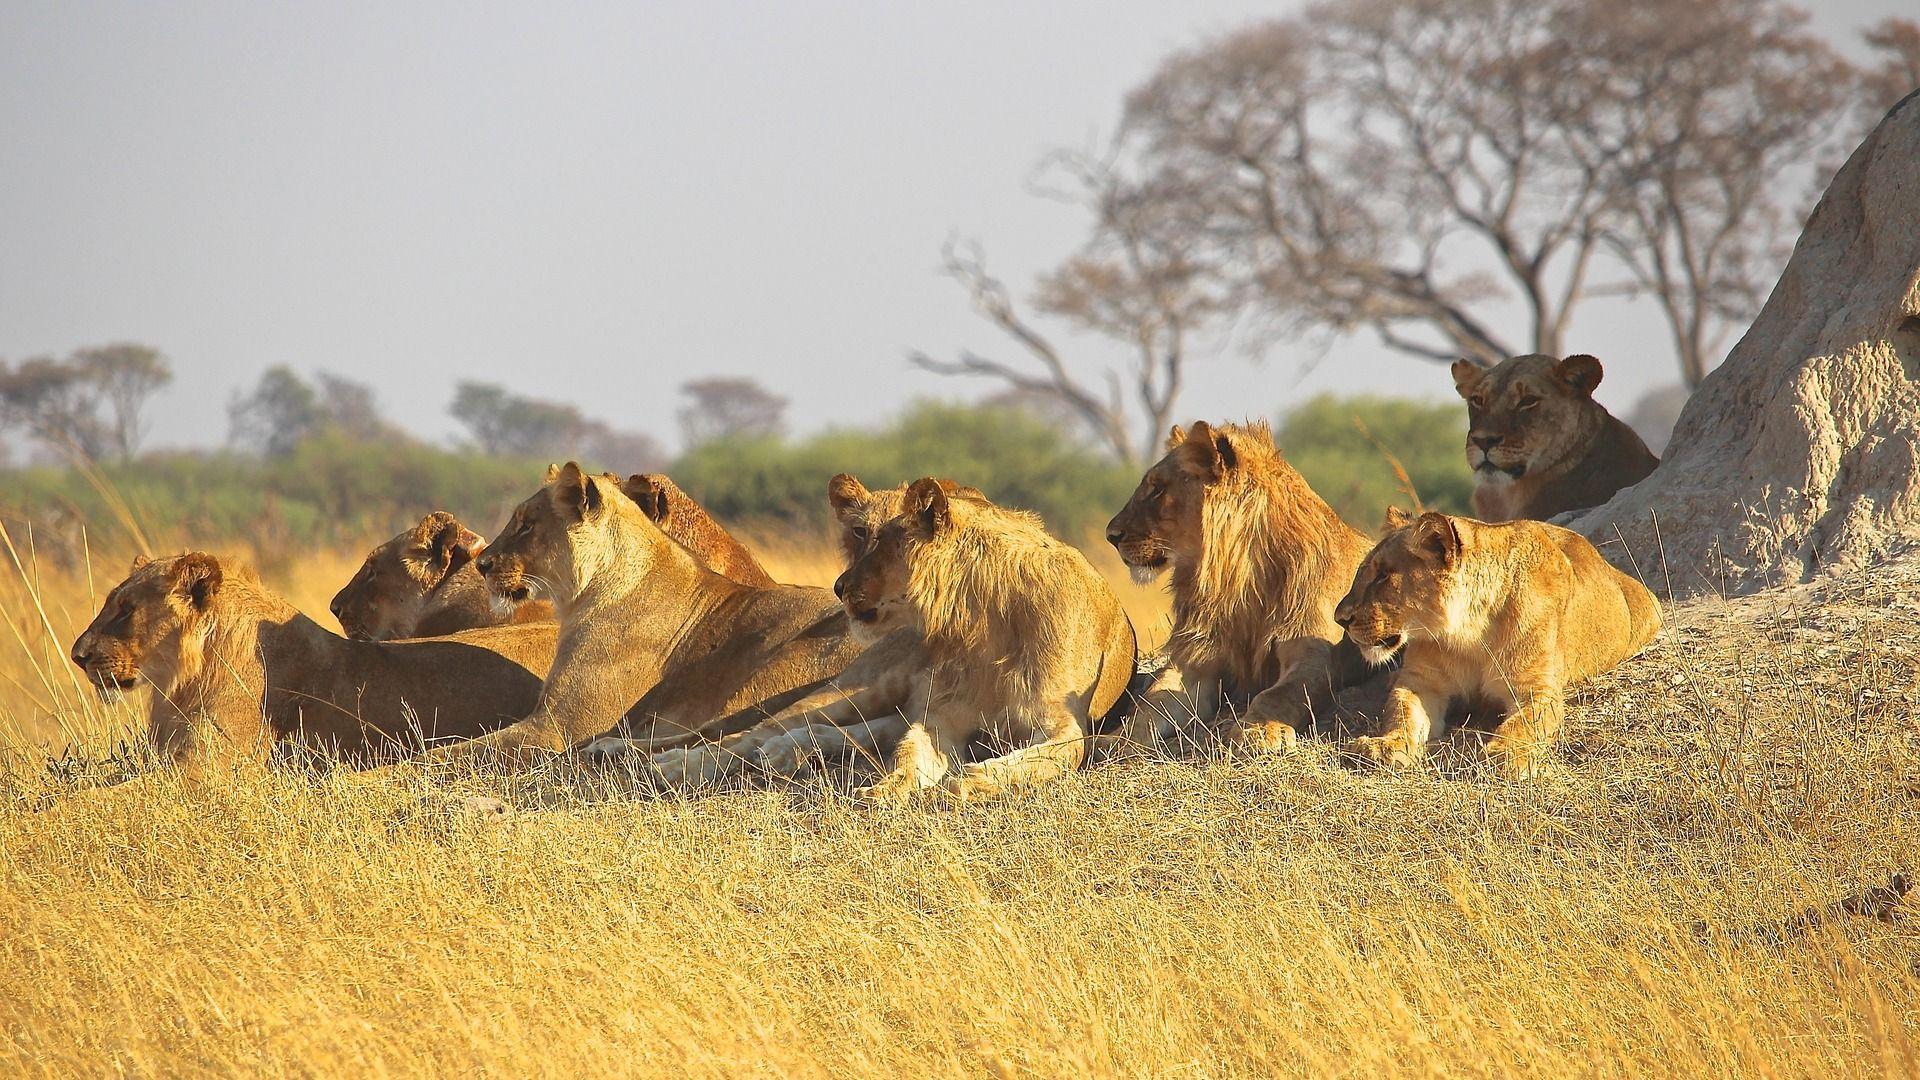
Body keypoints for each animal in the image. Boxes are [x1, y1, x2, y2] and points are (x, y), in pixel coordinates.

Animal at [415, 462, 871, 768]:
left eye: (527, 525)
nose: (482, 564)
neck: (583, 595)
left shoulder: (556, 727)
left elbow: (447, 752)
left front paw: (398, 771)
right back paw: (612, 748)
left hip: (777, 665)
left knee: (735, 732)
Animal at [835, 478, 1136, 803]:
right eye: (862, 535)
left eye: (882, 544)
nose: (838, 587)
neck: (985, 621)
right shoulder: (944, 714)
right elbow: (909, 753)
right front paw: (883, 789)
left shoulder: (1063, 722)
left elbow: (1030, 762)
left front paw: (963, 783)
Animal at [1105, 420, 1378, 752]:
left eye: (1158, 488)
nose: (1110, 535)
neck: (1238, 581)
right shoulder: (1195, 662)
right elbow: (1151, 704)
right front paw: (1115, 740)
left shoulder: (1315, 656)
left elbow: (1277, 695)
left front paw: (1257, 732)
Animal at [1337, 509, 1662, 777]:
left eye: (1383, 576)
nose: (1340, 618)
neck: (1469, 634)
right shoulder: (1421, 682)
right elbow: (1401, 713)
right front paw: (1383, 746)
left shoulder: (1537, 689)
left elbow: (1524, 724)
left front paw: (1504, 755)